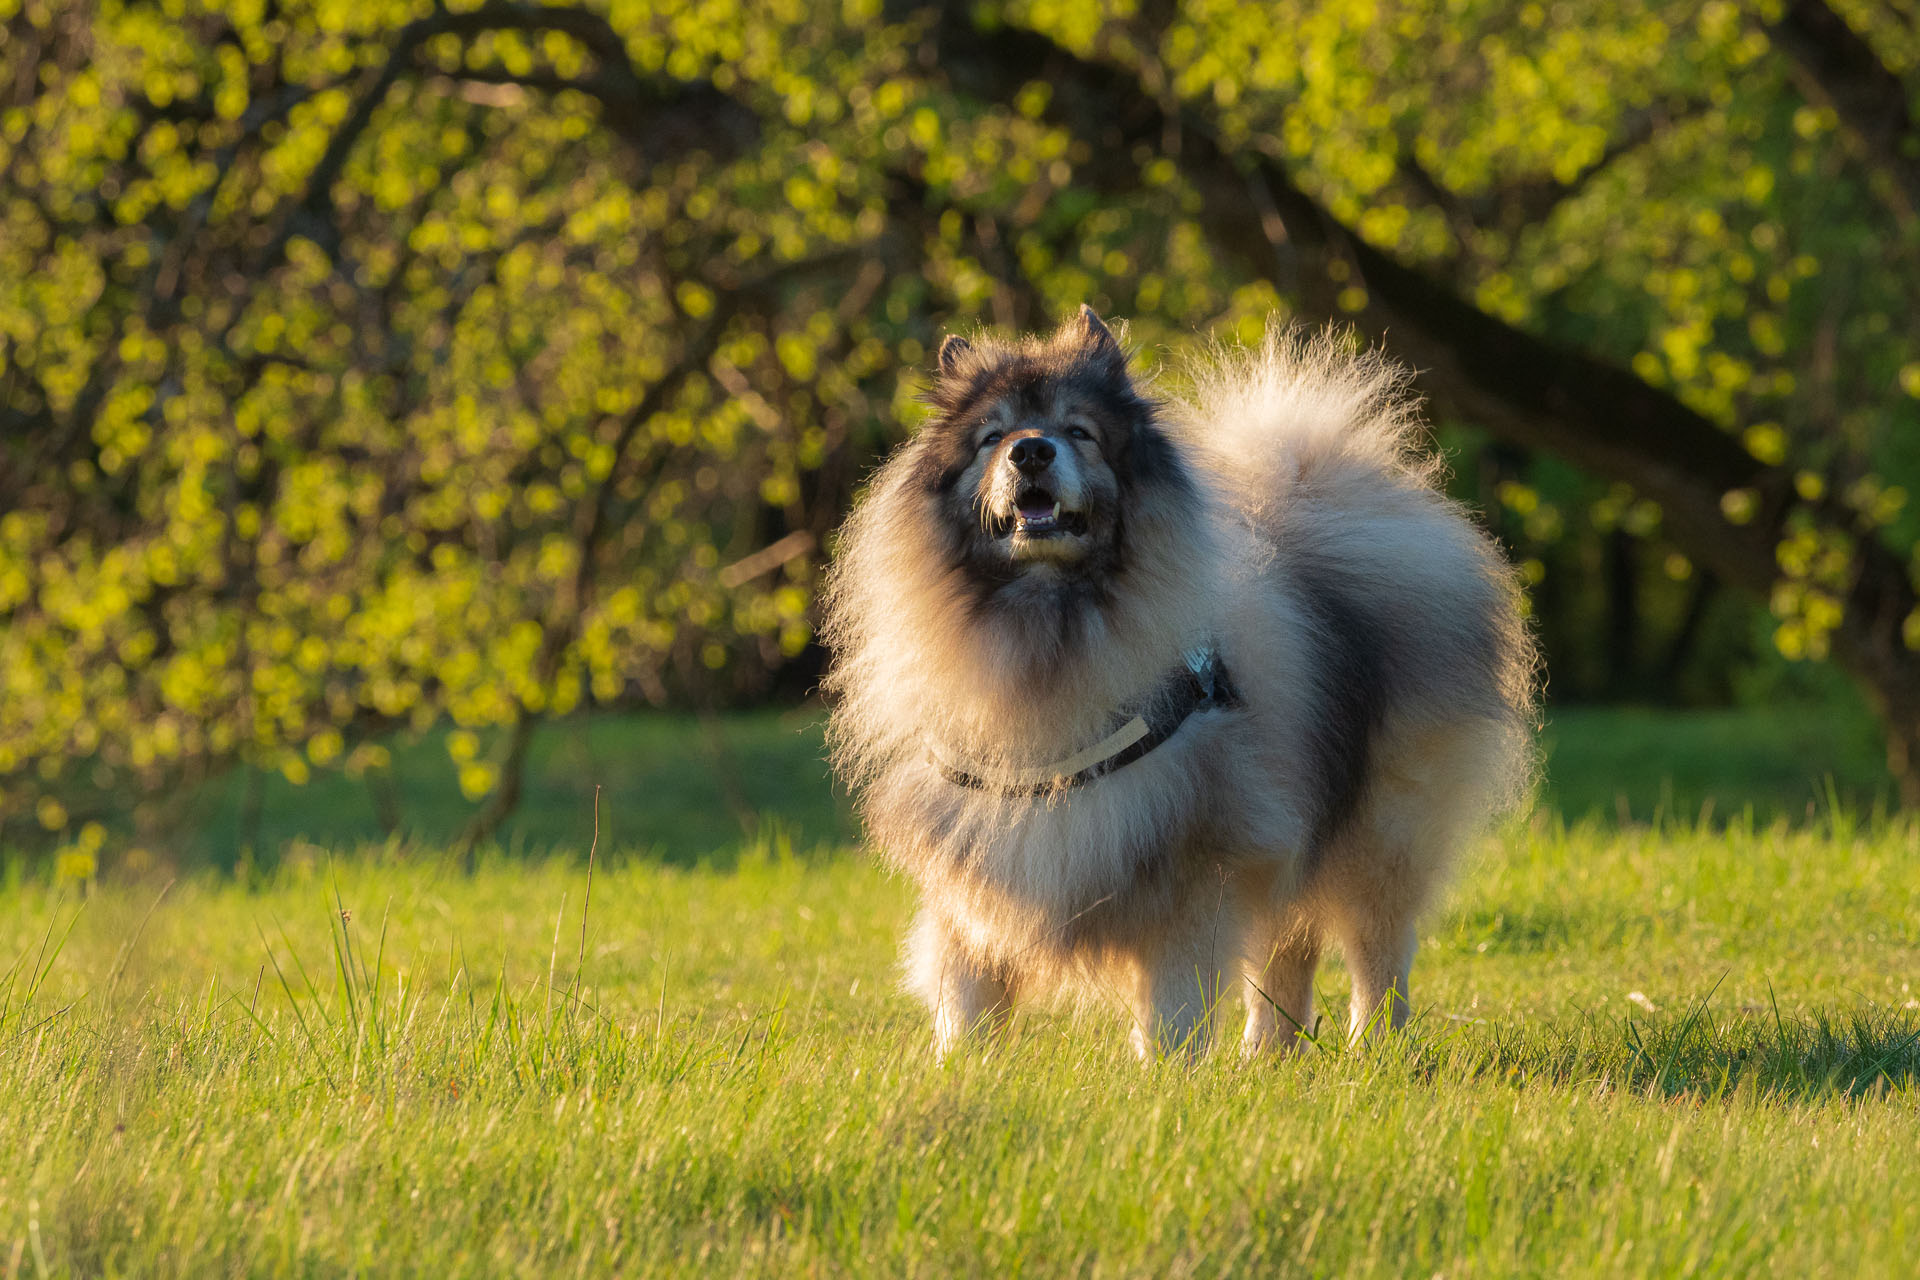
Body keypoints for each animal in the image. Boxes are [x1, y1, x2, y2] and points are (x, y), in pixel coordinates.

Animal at [817, 310, 1536, 1059]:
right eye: (993, 437)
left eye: (1079, 432)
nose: (1032, 452)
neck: (1047, 633)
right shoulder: (975, 867)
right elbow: (966, 994)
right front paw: (962, 1064)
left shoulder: (1191, 867)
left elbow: (1172, 1000)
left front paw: (1165, 1071)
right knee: (1288, 946)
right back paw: (1267, 1054)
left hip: (1381, 834)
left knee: (1377, 951)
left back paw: (1373, 1049)